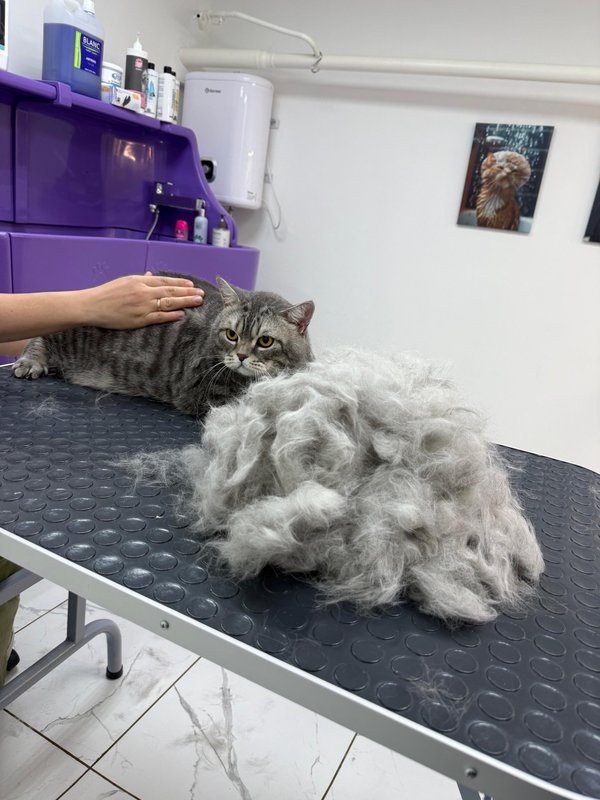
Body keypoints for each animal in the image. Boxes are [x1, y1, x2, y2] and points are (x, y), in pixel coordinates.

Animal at [12, 273, 315, 417]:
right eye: (231, 334)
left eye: (265, 341)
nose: (240, 356)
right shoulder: (202, 391)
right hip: (77, 327)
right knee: (44, 331)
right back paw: (30, 361)